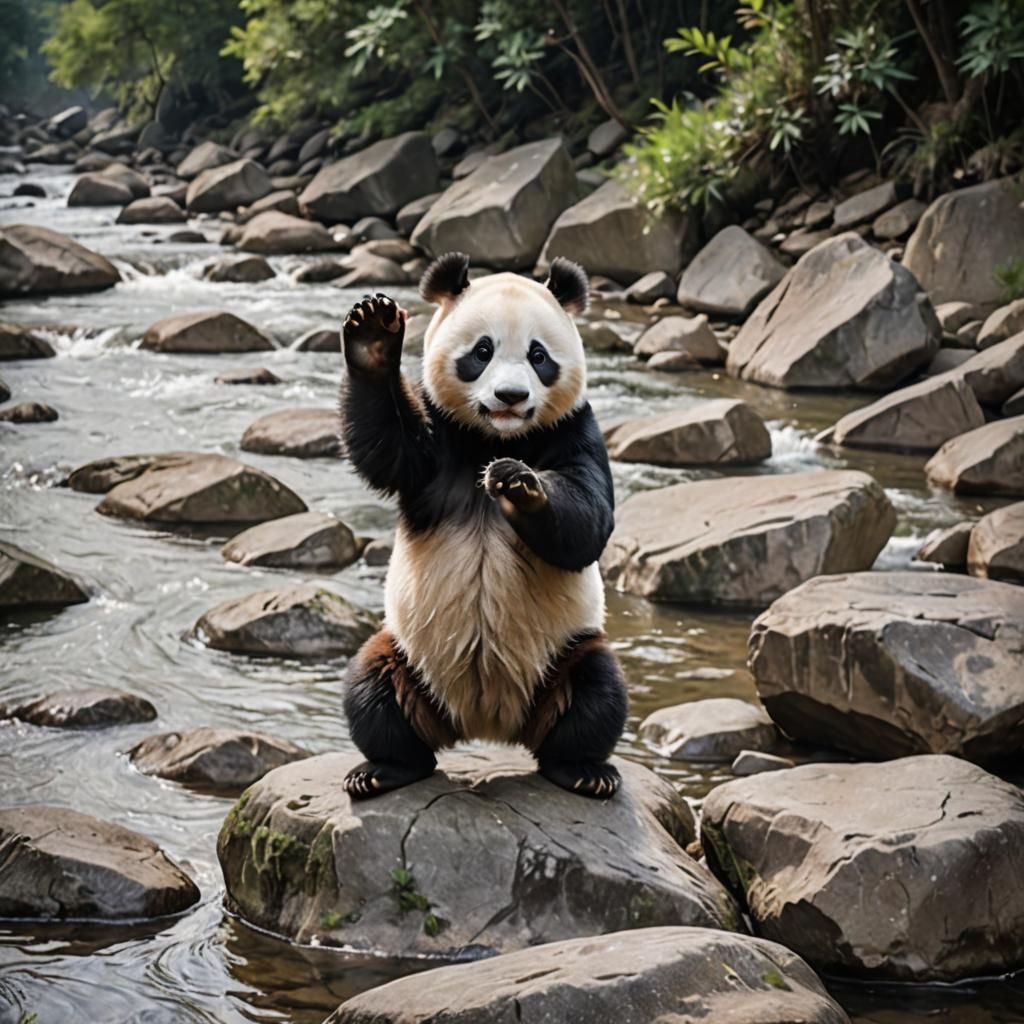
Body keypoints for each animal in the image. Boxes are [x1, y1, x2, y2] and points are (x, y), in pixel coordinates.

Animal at [339, 251, 628, 800]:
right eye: (482, 350)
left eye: (539, 355)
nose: (510, 396)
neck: (495, 437)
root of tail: (486, 724)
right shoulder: (440, 442)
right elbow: (387, 451)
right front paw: (374, 331)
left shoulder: (576, 429)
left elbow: (588, 524)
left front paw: (521, 485)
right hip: (408, 654)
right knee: (371, 687)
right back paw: (383, 770)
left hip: (563, 653)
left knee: (599, 690)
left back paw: (583, 771)